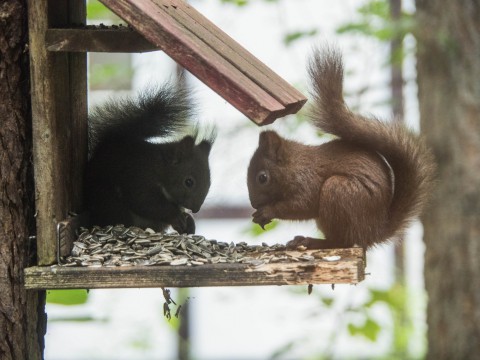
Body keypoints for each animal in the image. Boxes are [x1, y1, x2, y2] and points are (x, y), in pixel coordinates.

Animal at [85, 83, 215, 235]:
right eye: (189, 182)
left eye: (209, 182)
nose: (196, 209)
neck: (161, 167)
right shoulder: (139, 177)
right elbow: (145, 202)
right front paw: (176, 216)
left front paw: (187, 221)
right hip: (112, 204)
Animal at [246, 46, 436, 250]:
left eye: (262, 178)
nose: (254, 203)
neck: (294, 165)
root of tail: (373, 233)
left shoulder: (307, 183)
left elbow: (302, 205)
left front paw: (266, 212)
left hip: (337, 191)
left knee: (342, 241)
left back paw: (311, 241)